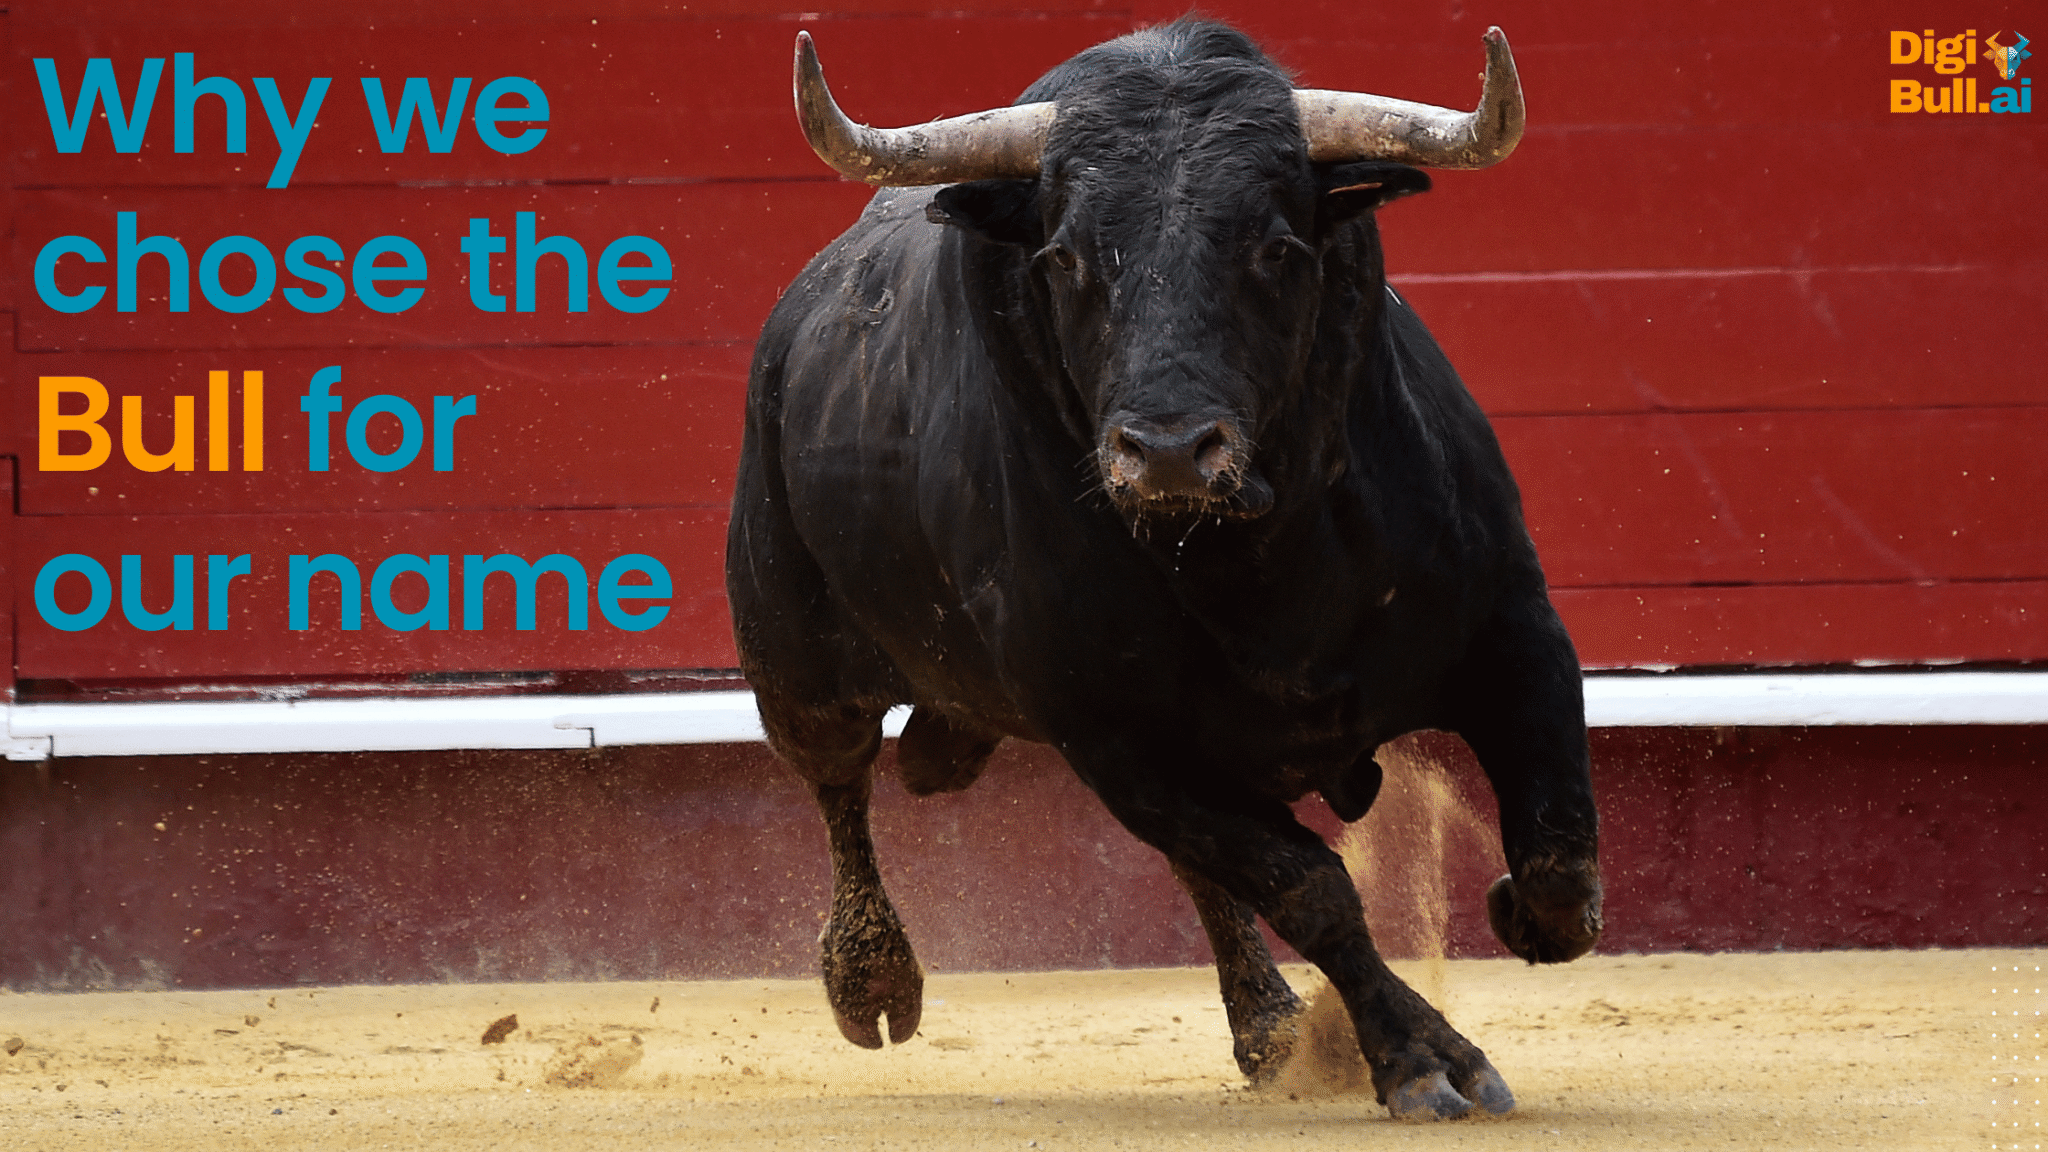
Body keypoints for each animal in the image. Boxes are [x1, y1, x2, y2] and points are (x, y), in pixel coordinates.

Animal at [726, 19, 1603, 1122]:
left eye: (1278, 248)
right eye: (1062, 257)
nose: (1172, 451)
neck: (1256, 558)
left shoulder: (1516, 629)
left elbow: (1556, 853)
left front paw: (1512, 917)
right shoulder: (1118, 738)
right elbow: (1309, 887)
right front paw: (1421, 1057)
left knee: (1198, 874)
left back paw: (1269, 1029)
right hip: (796, 662)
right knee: (839, 786)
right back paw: (873, 983)